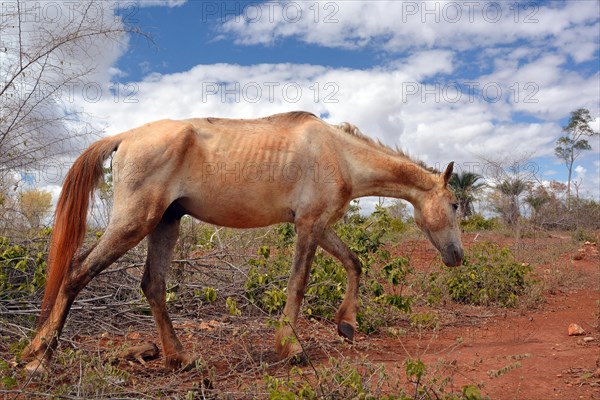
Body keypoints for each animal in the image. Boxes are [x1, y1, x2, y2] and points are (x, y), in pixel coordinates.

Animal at [22, 111, 464, 374]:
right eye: (456, 204)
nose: (457, 256)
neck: (338, 153)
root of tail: (127, 135)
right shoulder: (309, 226)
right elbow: (298, 285)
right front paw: (291, 347)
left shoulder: (319, 226)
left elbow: (354, 263)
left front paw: (347, 324)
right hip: (135, 222)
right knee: (77, 272)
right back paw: (39, 357)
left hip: (166, 222)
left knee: (153, 285)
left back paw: (180, 357)